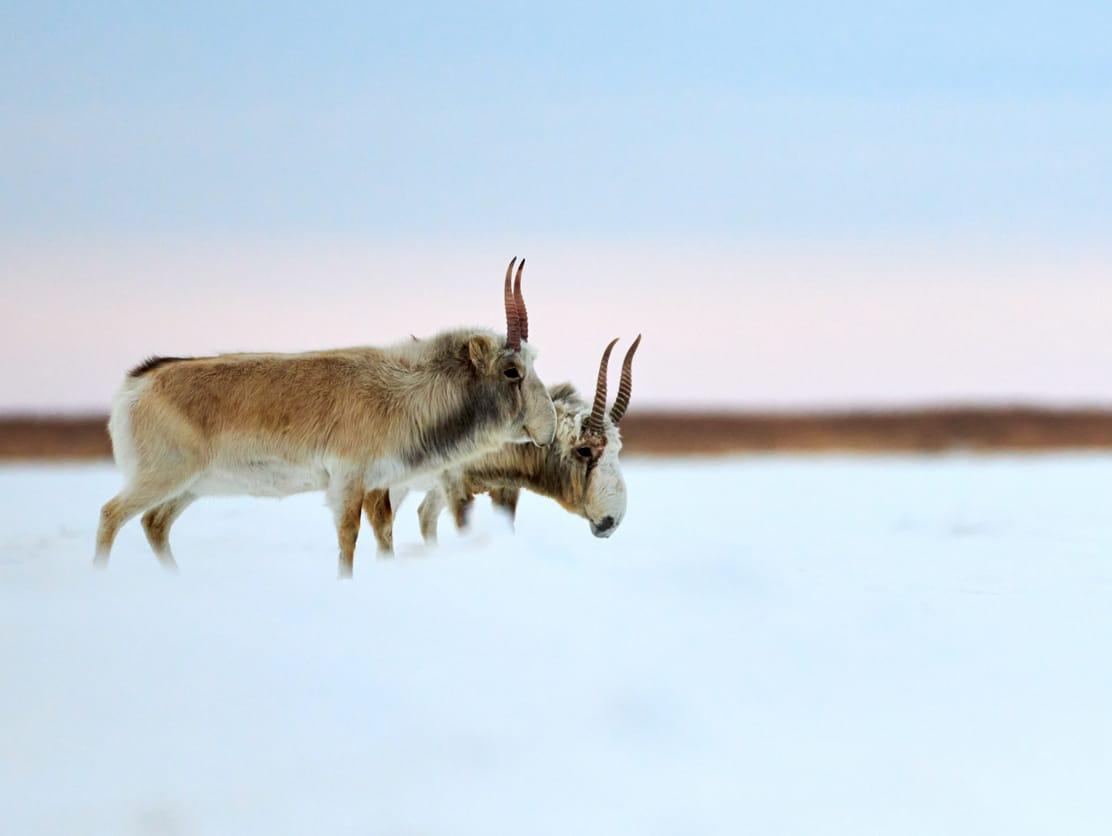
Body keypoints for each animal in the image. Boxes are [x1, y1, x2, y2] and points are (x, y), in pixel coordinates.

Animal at [94, 259, 556, 577]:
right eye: (512, 371)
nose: (549, 427)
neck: (404, 390)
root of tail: (137, 385)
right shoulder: (348, 479)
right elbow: (348, 537)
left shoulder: (378, 484)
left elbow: (384, 533)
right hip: (162, 476)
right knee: (111, 514)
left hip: (190, 486)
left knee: (154, 523)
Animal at [363, 335, 640, 553]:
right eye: (584, 450)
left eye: (617, 450)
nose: (610, 521)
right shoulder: (455, 486)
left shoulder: (502, 488)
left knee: (422, 516)